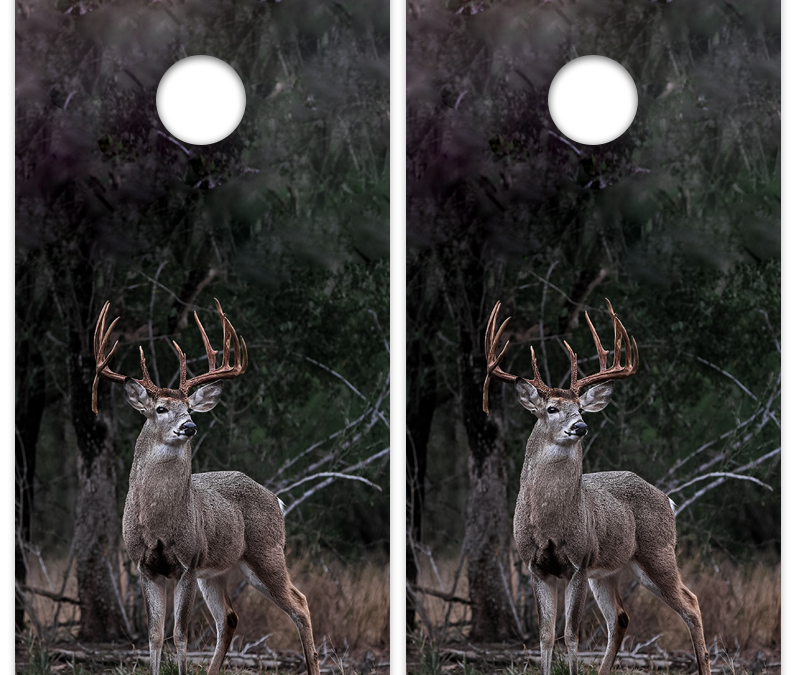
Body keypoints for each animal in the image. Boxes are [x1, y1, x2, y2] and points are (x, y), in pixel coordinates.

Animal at [92, 299, 320, 675]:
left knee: (300, 604)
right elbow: (155, 635)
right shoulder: (144, 565)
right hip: (217, 570)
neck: (158, 524)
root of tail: (276, 499)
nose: (189, 426)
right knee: (229, 617)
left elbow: (180, 634)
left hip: (265, 551)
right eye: (160, 408)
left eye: (189, 407)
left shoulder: (187, 561)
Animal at [483, 299, 710, 675]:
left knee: (691, 604)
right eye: (551, 408)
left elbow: (571, 634)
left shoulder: (578, 562)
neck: (549, 524)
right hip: (608, 570)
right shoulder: (535, 566)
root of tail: (667, 499)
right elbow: (546, 636)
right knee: (620, 617)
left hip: (656, 552)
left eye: (580, 408)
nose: (580, 426)